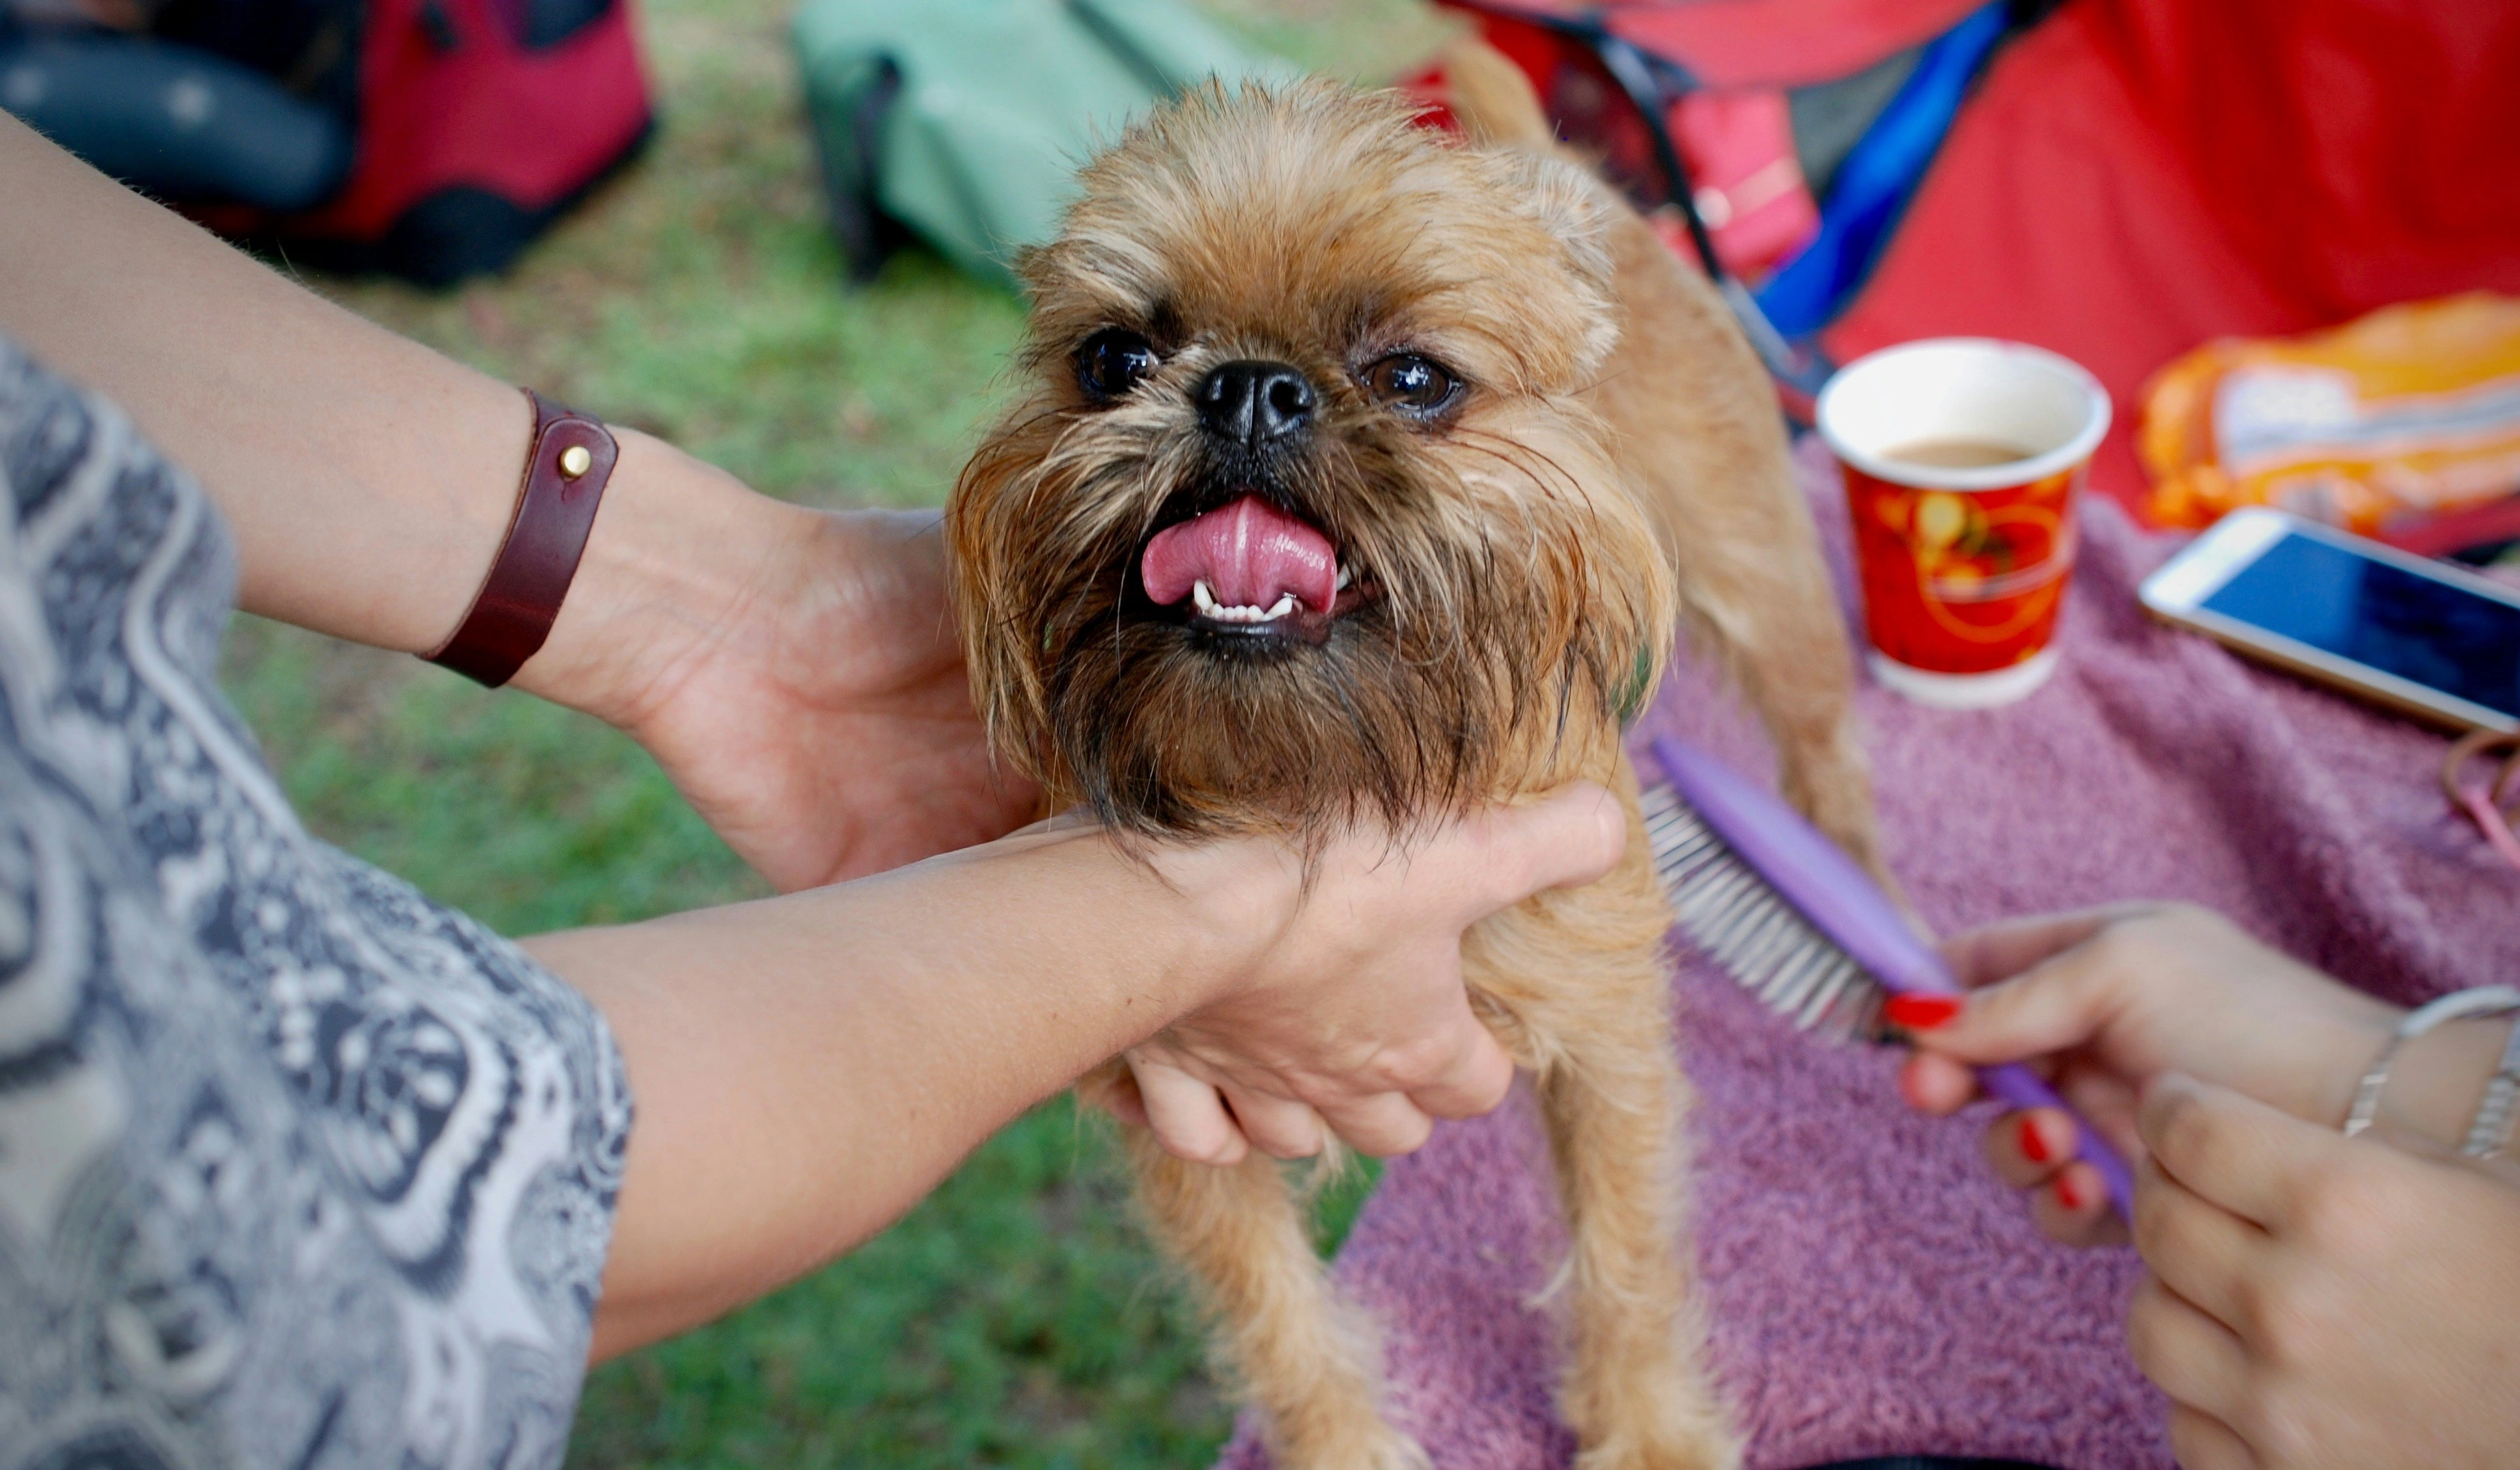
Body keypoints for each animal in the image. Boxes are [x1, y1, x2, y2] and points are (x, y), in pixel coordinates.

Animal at [952, 49, 1884, 1470]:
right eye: (1114, 359)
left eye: (1415, 380)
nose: (1248, 385)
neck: (1323, 790)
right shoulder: (1189, 1117)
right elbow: (1279, 1321)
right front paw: (1343, 1445)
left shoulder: (1606, 1037)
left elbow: (1623, 1256)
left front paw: (1650, 1431)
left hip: (1767, 584)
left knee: (1828, 749)